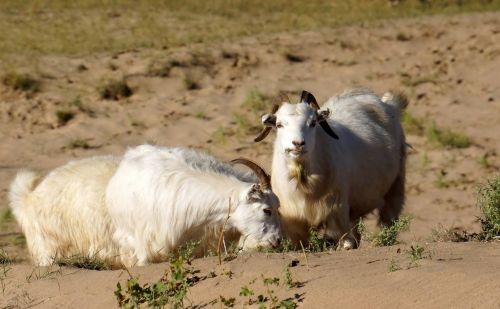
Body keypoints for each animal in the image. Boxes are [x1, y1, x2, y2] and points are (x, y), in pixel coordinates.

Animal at [254, 88, 406, 247]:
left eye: (313, 123)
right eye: (279, 124)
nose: (298, 144)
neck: (304, 182)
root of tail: (388, 104)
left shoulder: (336, 211)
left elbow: (345, 242)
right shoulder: (294, 221)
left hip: (396, 185)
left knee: (389, 217)